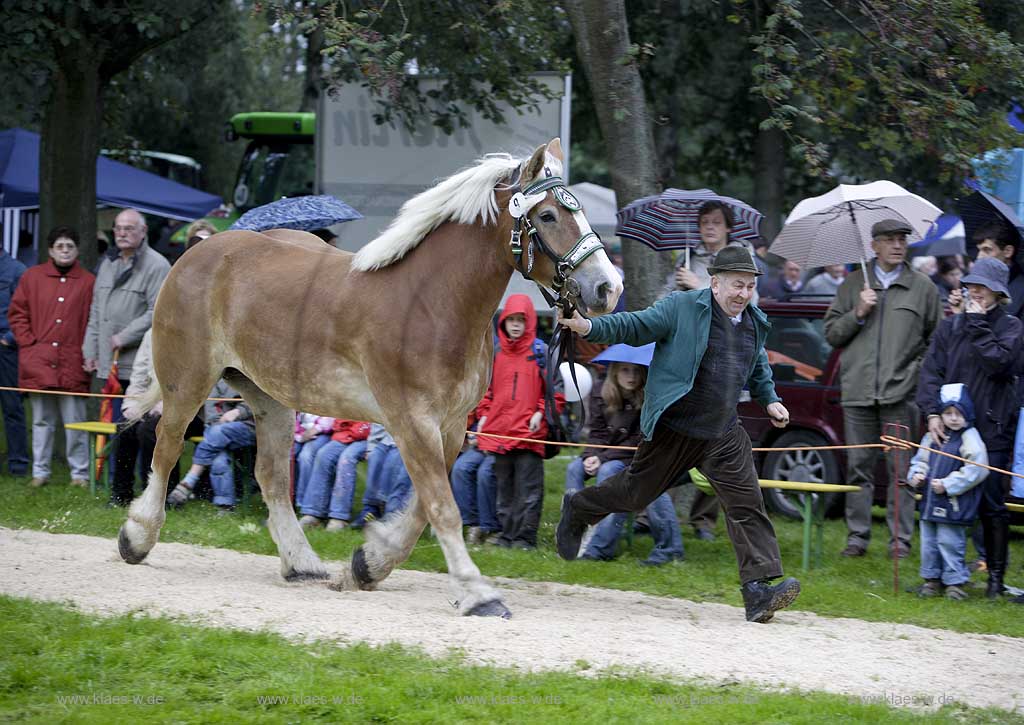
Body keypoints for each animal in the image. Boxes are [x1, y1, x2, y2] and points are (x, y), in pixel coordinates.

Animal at [116, 139, 618, 614]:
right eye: (549, 215)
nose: (608, 287)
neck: (432, 301)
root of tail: (197, 252)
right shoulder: (412, 421)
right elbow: (442, 507)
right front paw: (477, 593)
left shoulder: (452, 425)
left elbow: (423, 507)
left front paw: (368, 564)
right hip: (189, 381)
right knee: (166, 448)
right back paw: (137, 537)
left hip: (268, 397)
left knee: (271, 476)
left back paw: (301, 562)